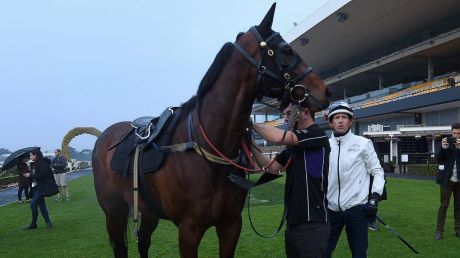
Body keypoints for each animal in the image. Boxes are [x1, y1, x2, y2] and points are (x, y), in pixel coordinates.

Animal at [93, 4, 330, 258]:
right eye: (286, 50)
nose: (325, 91)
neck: (207, 148)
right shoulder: (188, 231)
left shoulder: (231, 224)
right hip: (114, 215)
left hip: (148, 212)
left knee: (143, 242)